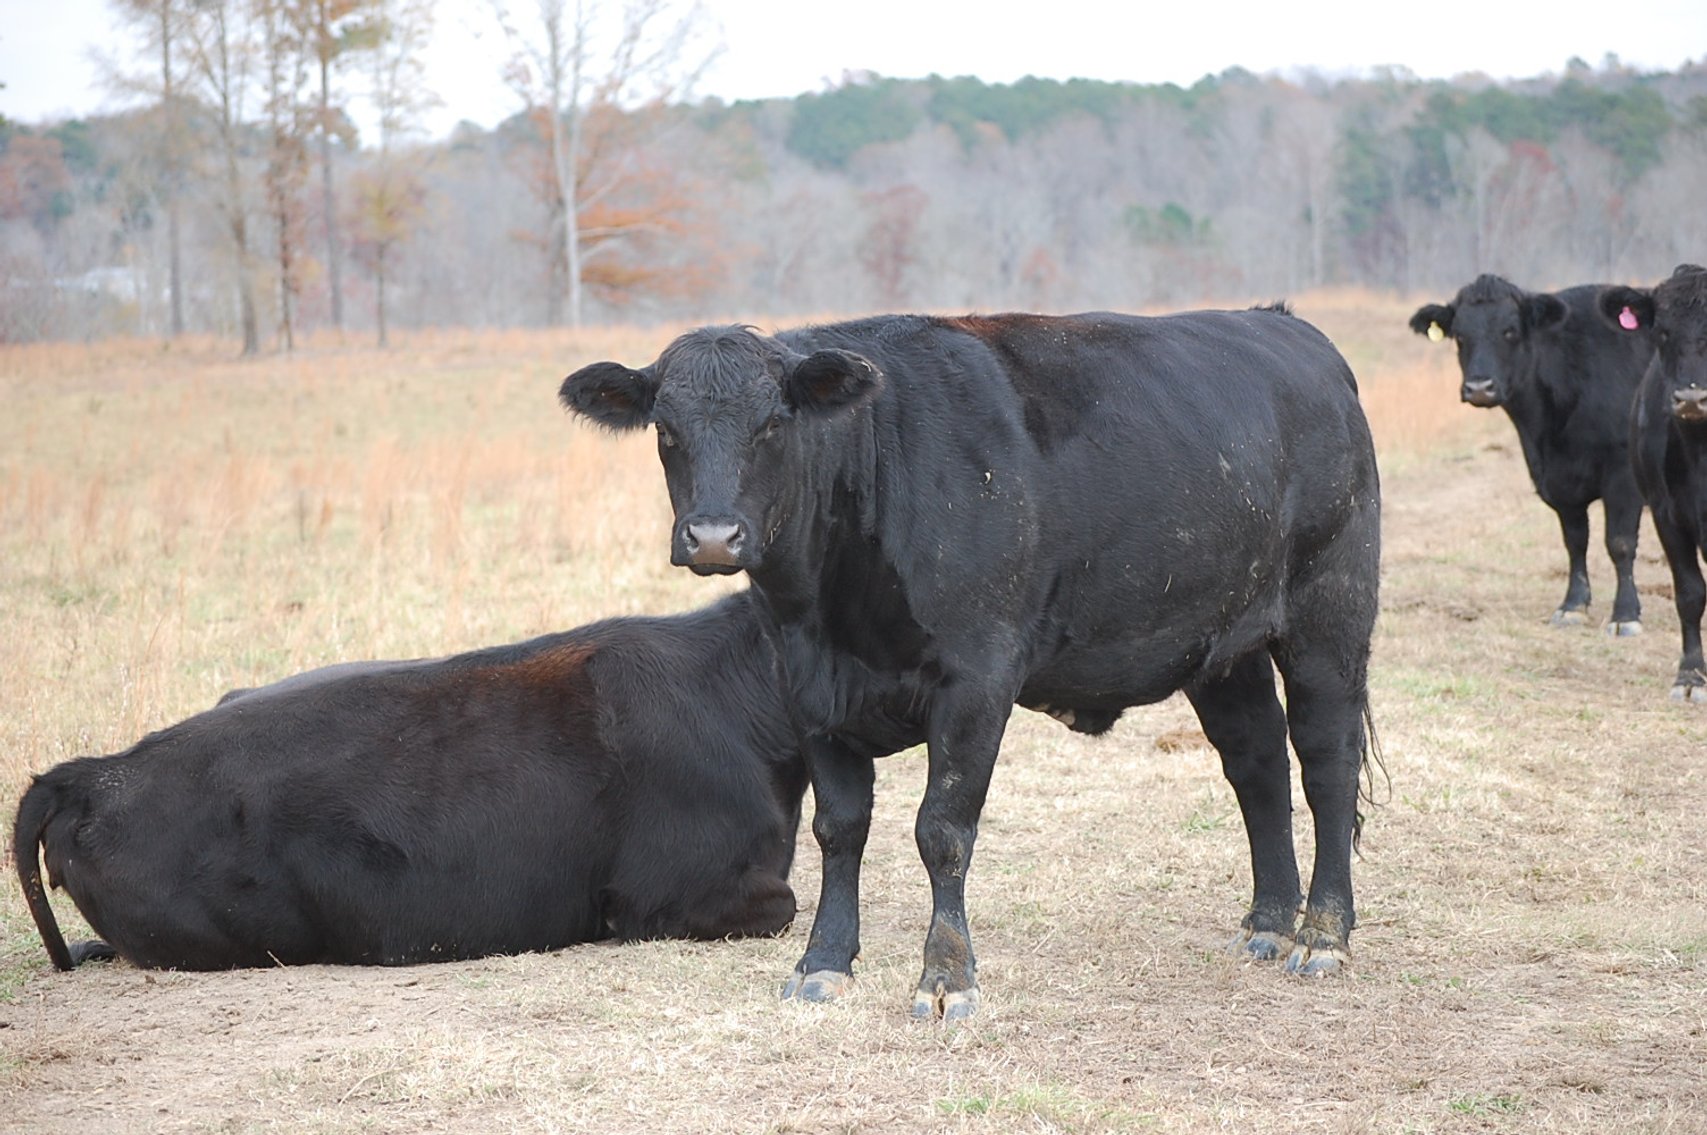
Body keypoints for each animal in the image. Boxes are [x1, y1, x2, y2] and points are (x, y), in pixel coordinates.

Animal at [560, 306, 1382, 1020]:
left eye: (772, 423)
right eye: (666, 429)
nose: (711, 536)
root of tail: (1286, 326)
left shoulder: (976, 682)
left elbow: (942, 830)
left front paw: (946, 978)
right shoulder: (811, 694)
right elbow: (839, 829)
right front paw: (823, 963)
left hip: (1329, 617)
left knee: (1326, 765)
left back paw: (1323, 933)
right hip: (1222, 647)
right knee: (1257, 764)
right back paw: (1269, 922)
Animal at [1409, 275, 1652, 634]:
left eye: (1510, 331)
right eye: (1460, 335)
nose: (1479, 388)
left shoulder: (1623, 475)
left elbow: (1619, 543)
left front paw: (1625, 615)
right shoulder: (1557, 479)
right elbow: (1575, 540)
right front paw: (1572, 606)